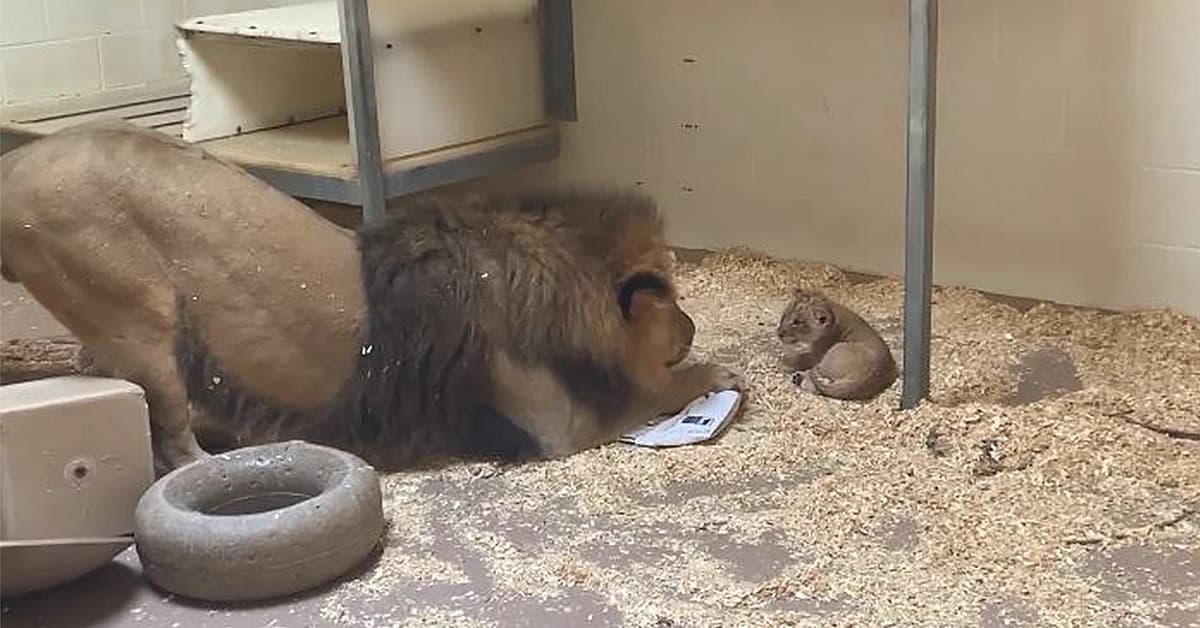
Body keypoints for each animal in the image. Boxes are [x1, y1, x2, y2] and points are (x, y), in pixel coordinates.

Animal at [2, 120, 739, 470]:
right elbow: (651, 391)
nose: (693, 328)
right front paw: (716, 373)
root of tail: (17, 165)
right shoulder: (558, 424)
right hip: (141, 319)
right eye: (671, 298)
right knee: (176, 444)